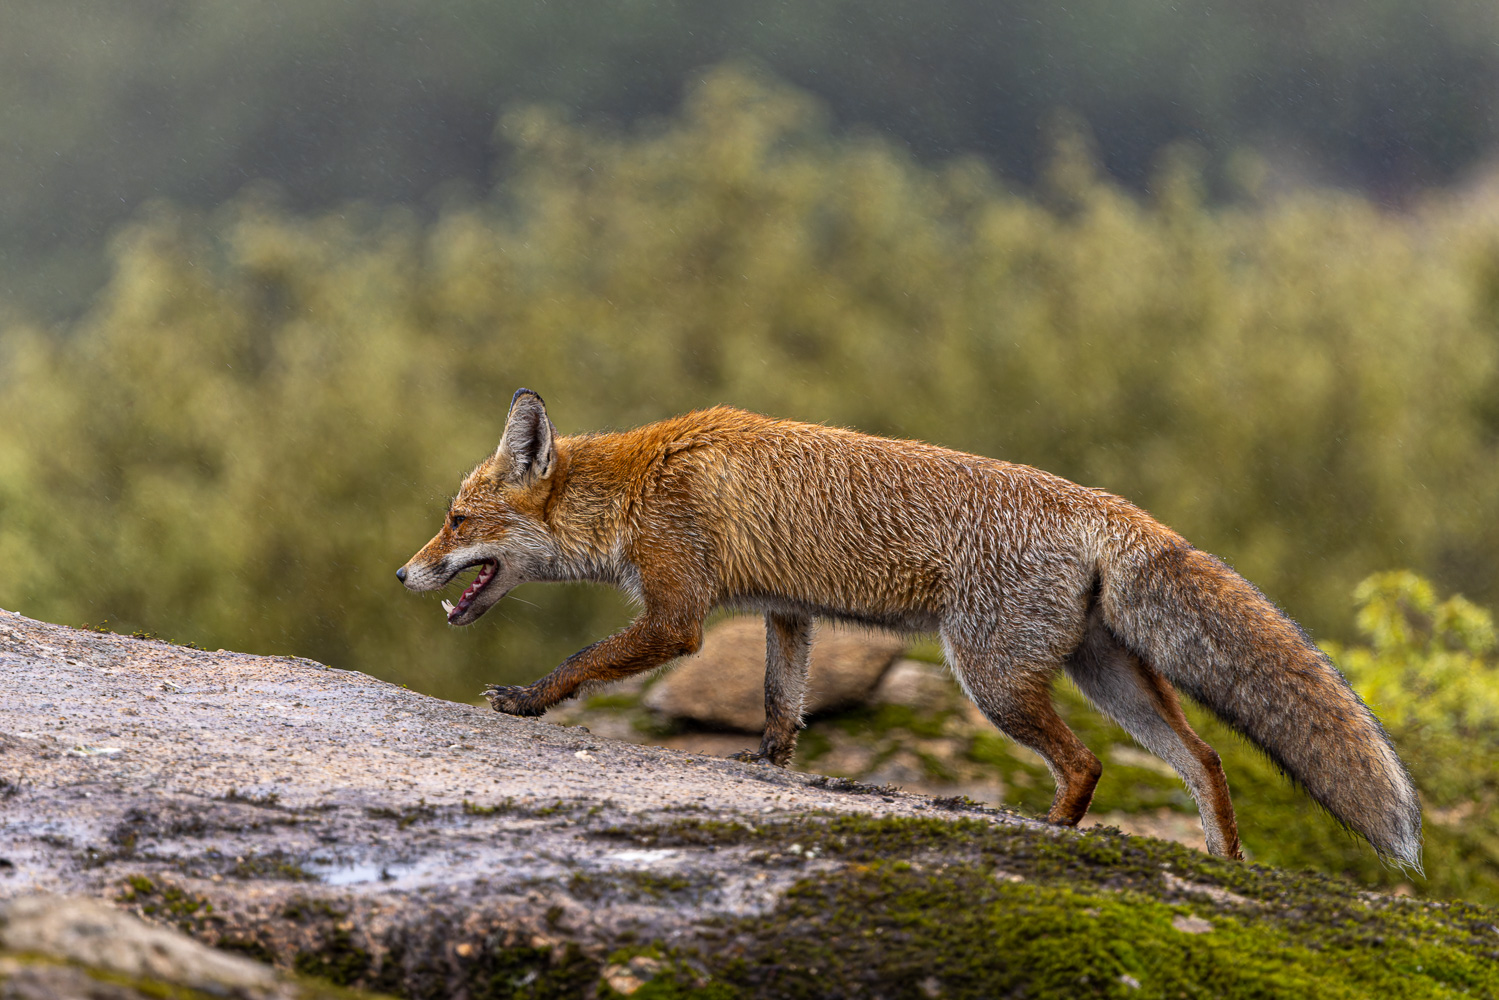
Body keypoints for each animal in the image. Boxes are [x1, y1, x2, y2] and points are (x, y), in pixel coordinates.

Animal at [395, 389, 1415, 869]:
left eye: (453, 520)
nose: (402, 573)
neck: (642, 481)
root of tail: (1105, 504)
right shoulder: (788, 612)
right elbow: (780, 708)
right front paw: (770, 770)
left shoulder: (678, 615)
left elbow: (583, 660)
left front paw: (527, 700)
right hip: (1104, 678)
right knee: (1202, 760)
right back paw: (1225, 865)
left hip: (992, 680)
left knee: (1084, 764)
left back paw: (1049, 831)